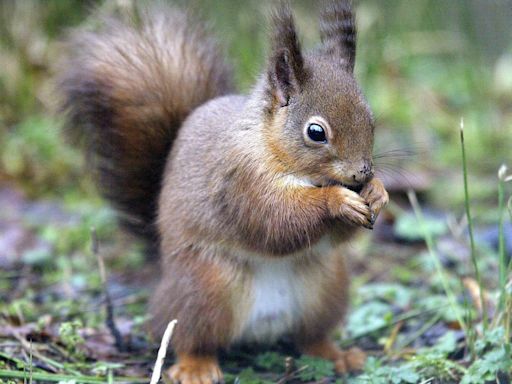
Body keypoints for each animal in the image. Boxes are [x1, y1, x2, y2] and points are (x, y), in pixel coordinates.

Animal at [59, 1, 388, 382]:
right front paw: (337, 200)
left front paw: (378, 192)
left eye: (371, 120)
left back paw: (336, 355)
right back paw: (196, 367)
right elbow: (276, 222)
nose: (362, 173)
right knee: (189, 336)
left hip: (325, 289)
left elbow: (333, 236)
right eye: (316, 132)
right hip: (205, 290)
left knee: (310, 336)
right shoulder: (239, 181)